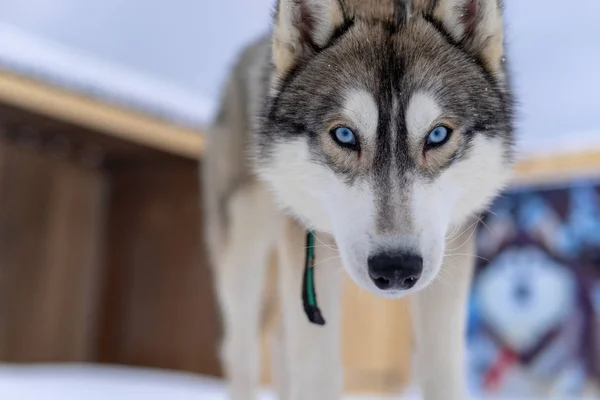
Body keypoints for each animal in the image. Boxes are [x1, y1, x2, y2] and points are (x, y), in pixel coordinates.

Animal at [200, 0, 510, 400]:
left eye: (438, 134)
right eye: (345, 135)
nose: (397, 268)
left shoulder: (452, 252)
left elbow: (441, 369)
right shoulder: (310, 250)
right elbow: (317, 373)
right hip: (244, 258)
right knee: (242, 349)